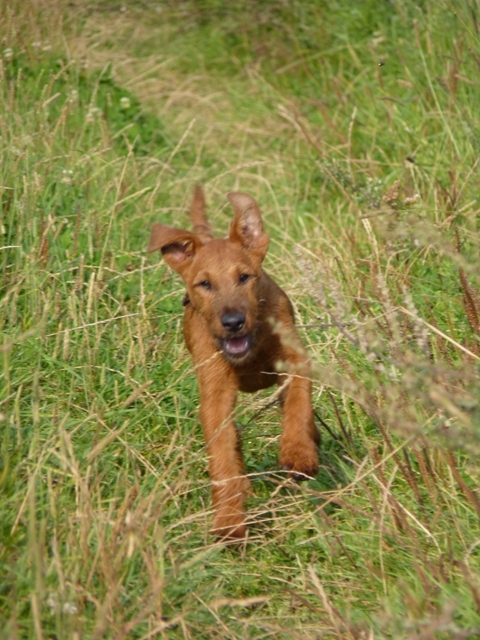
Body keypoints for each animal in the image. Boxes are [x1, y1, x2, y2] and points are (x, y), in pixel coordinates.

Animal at [148, 186, 319, 539]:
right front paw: (228, 520)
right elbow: (222, 456)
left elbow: (298, 405)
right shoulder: (216, 394)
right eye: (204, 284)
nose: (233, 322)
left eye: (244, 277)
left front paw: (298, 452)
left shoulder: (295, 361)